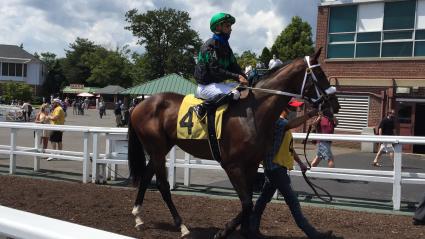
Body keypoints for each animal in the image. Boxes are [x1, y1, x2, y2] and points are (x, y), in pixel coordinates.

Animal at [127, 47, 340, 238]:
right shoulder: (232, 165)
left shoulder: (251, 164)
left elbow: (249, 202)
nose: (334, 105)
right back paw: (182, 226)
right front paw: (224, 231)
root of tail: (140, 104)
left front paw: (246, 231)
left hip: (161, 148)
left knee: (146, 176)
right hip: (157, 148)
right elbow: (247, 203)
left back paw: (138, 217)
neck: (253, 112)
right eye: (319, 74)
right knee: (162, 185)